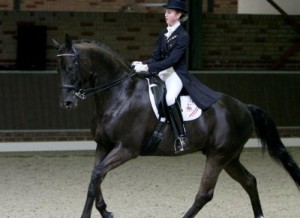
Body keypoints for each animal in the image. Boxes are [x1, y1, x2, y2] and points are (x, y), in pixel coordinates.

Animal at [52, 35, 298, 217]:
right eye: (58, 68)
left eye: (71, 66)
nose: (66, 103)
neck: (120, 95)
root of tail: (245, 107)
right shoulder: (103, 146)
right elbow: (95, 178)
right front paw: (105, 211)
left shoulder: (126, 149)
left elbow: (96, 176)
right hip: (230, 157)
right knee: (249, 181)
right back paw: (259, 214)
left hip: (219, 155)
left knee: (205, 194)